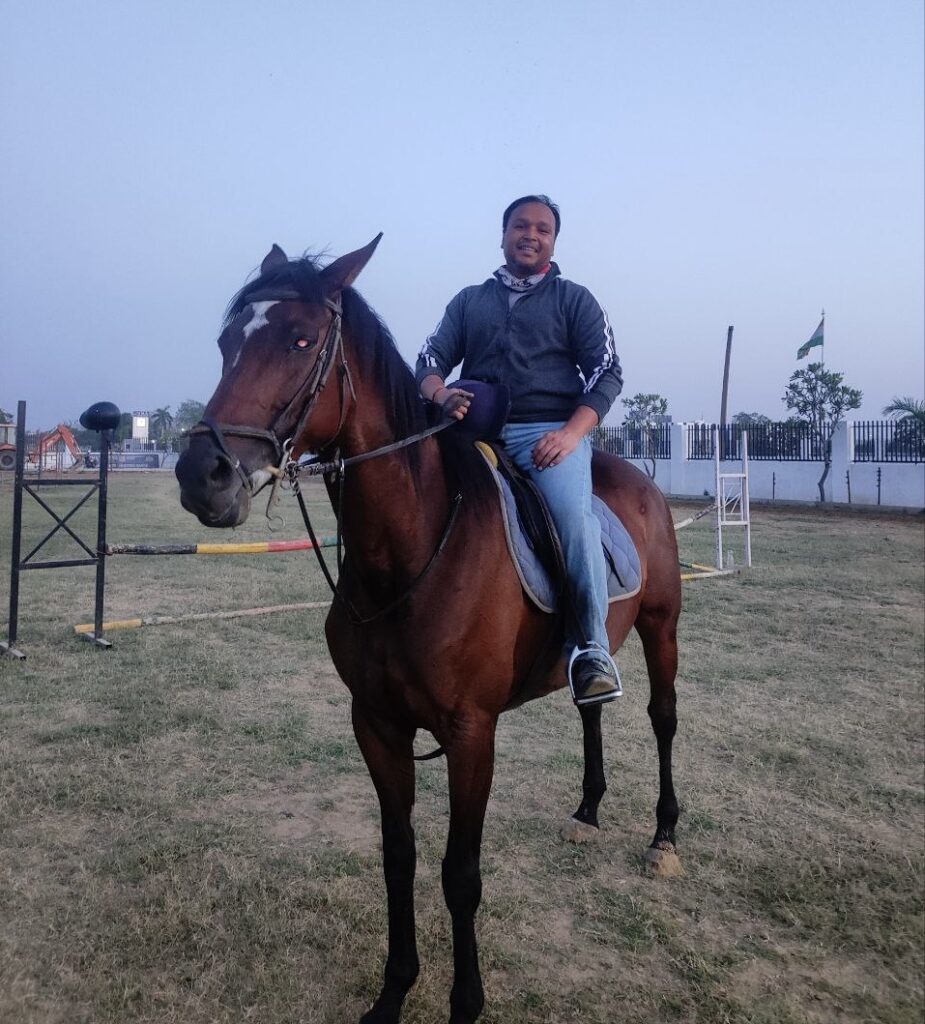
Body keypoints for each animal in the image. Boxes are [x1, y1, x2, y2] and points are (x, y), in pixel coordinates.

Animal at [175, 237, 682, 1024]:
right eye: (227, 342)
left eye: (300, 340)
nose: (203, 475)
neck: (409, 556)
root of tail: (637, 477)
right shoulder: (377, 723)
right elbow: (399, 857)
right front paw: (393, 991)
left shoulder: (470, 732)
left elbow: (459, 873)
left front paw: (464, 1001)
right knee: (590, 708)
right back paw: (588, 809)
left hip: (662, 628)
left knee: (662, 718)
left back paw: (661, 836)